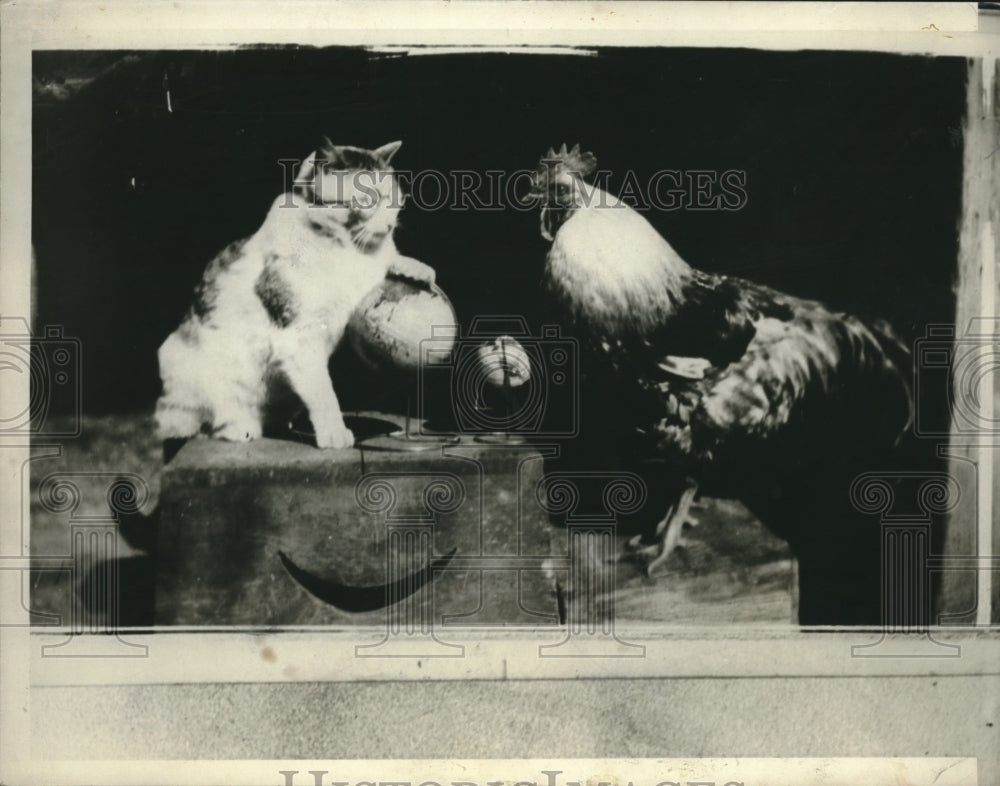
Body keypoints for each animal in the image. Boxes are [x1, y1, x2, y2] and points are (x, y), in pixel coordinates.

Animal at [154, 138, 432, 450]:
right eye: (367, 200)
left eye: (393, 199)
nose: (389, 225)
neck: (344, 246)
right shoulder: (300, 336)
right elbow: (324, 393)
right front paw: (335, 432)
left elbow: (386, 260)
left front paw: (415, 268)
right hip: (186, 364)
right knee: (211, 421)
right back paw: (241, 428)